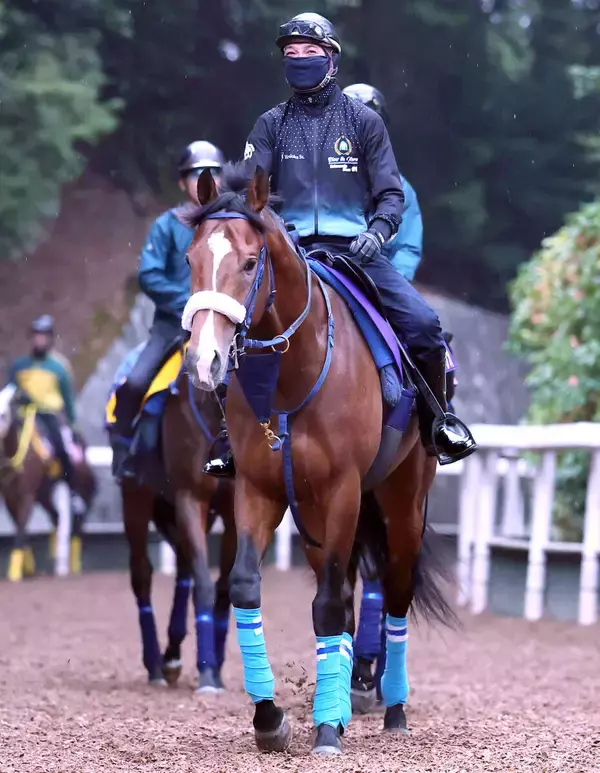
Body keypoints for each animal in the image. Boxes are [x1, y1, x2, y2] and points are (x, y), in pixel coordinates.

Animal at [0, 384, 96, 581]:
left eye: (4, 414)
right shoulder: (9, 497)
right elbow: (19, 526)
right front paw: (27, 567)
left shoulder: (27, 495)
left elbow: (21, 528)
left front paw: (15, 572)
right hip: (44, 494)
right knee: (57, 517)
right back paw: (57, 562)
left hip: (84, 489)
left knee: (78, 522)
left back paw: (73, 567)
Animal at [109, 353, 236, 691]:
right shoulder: (190, 499)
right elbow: (204, 583)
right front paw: (207, 672)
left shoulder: (234, 513)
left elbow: (224, 588)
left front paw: (216, 666)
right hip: (136, 502)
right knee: (142, 575)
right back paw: (155, 664)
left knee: (183, 567)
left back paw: (172, 657)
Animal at [182, 164, 457, 755]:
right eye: (191, 259)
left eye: (248, 262)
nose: (203, 360)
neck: (292, 376)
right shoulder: (259, 491)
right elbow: (247, 586)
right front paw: (270, 718)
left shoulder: (343, 492)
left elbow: (330, 605)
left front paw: (328, 728)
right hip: (312, 519)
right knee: (348, 596)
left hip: (402, 505)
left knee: (394, 594)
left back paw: (393, 708)